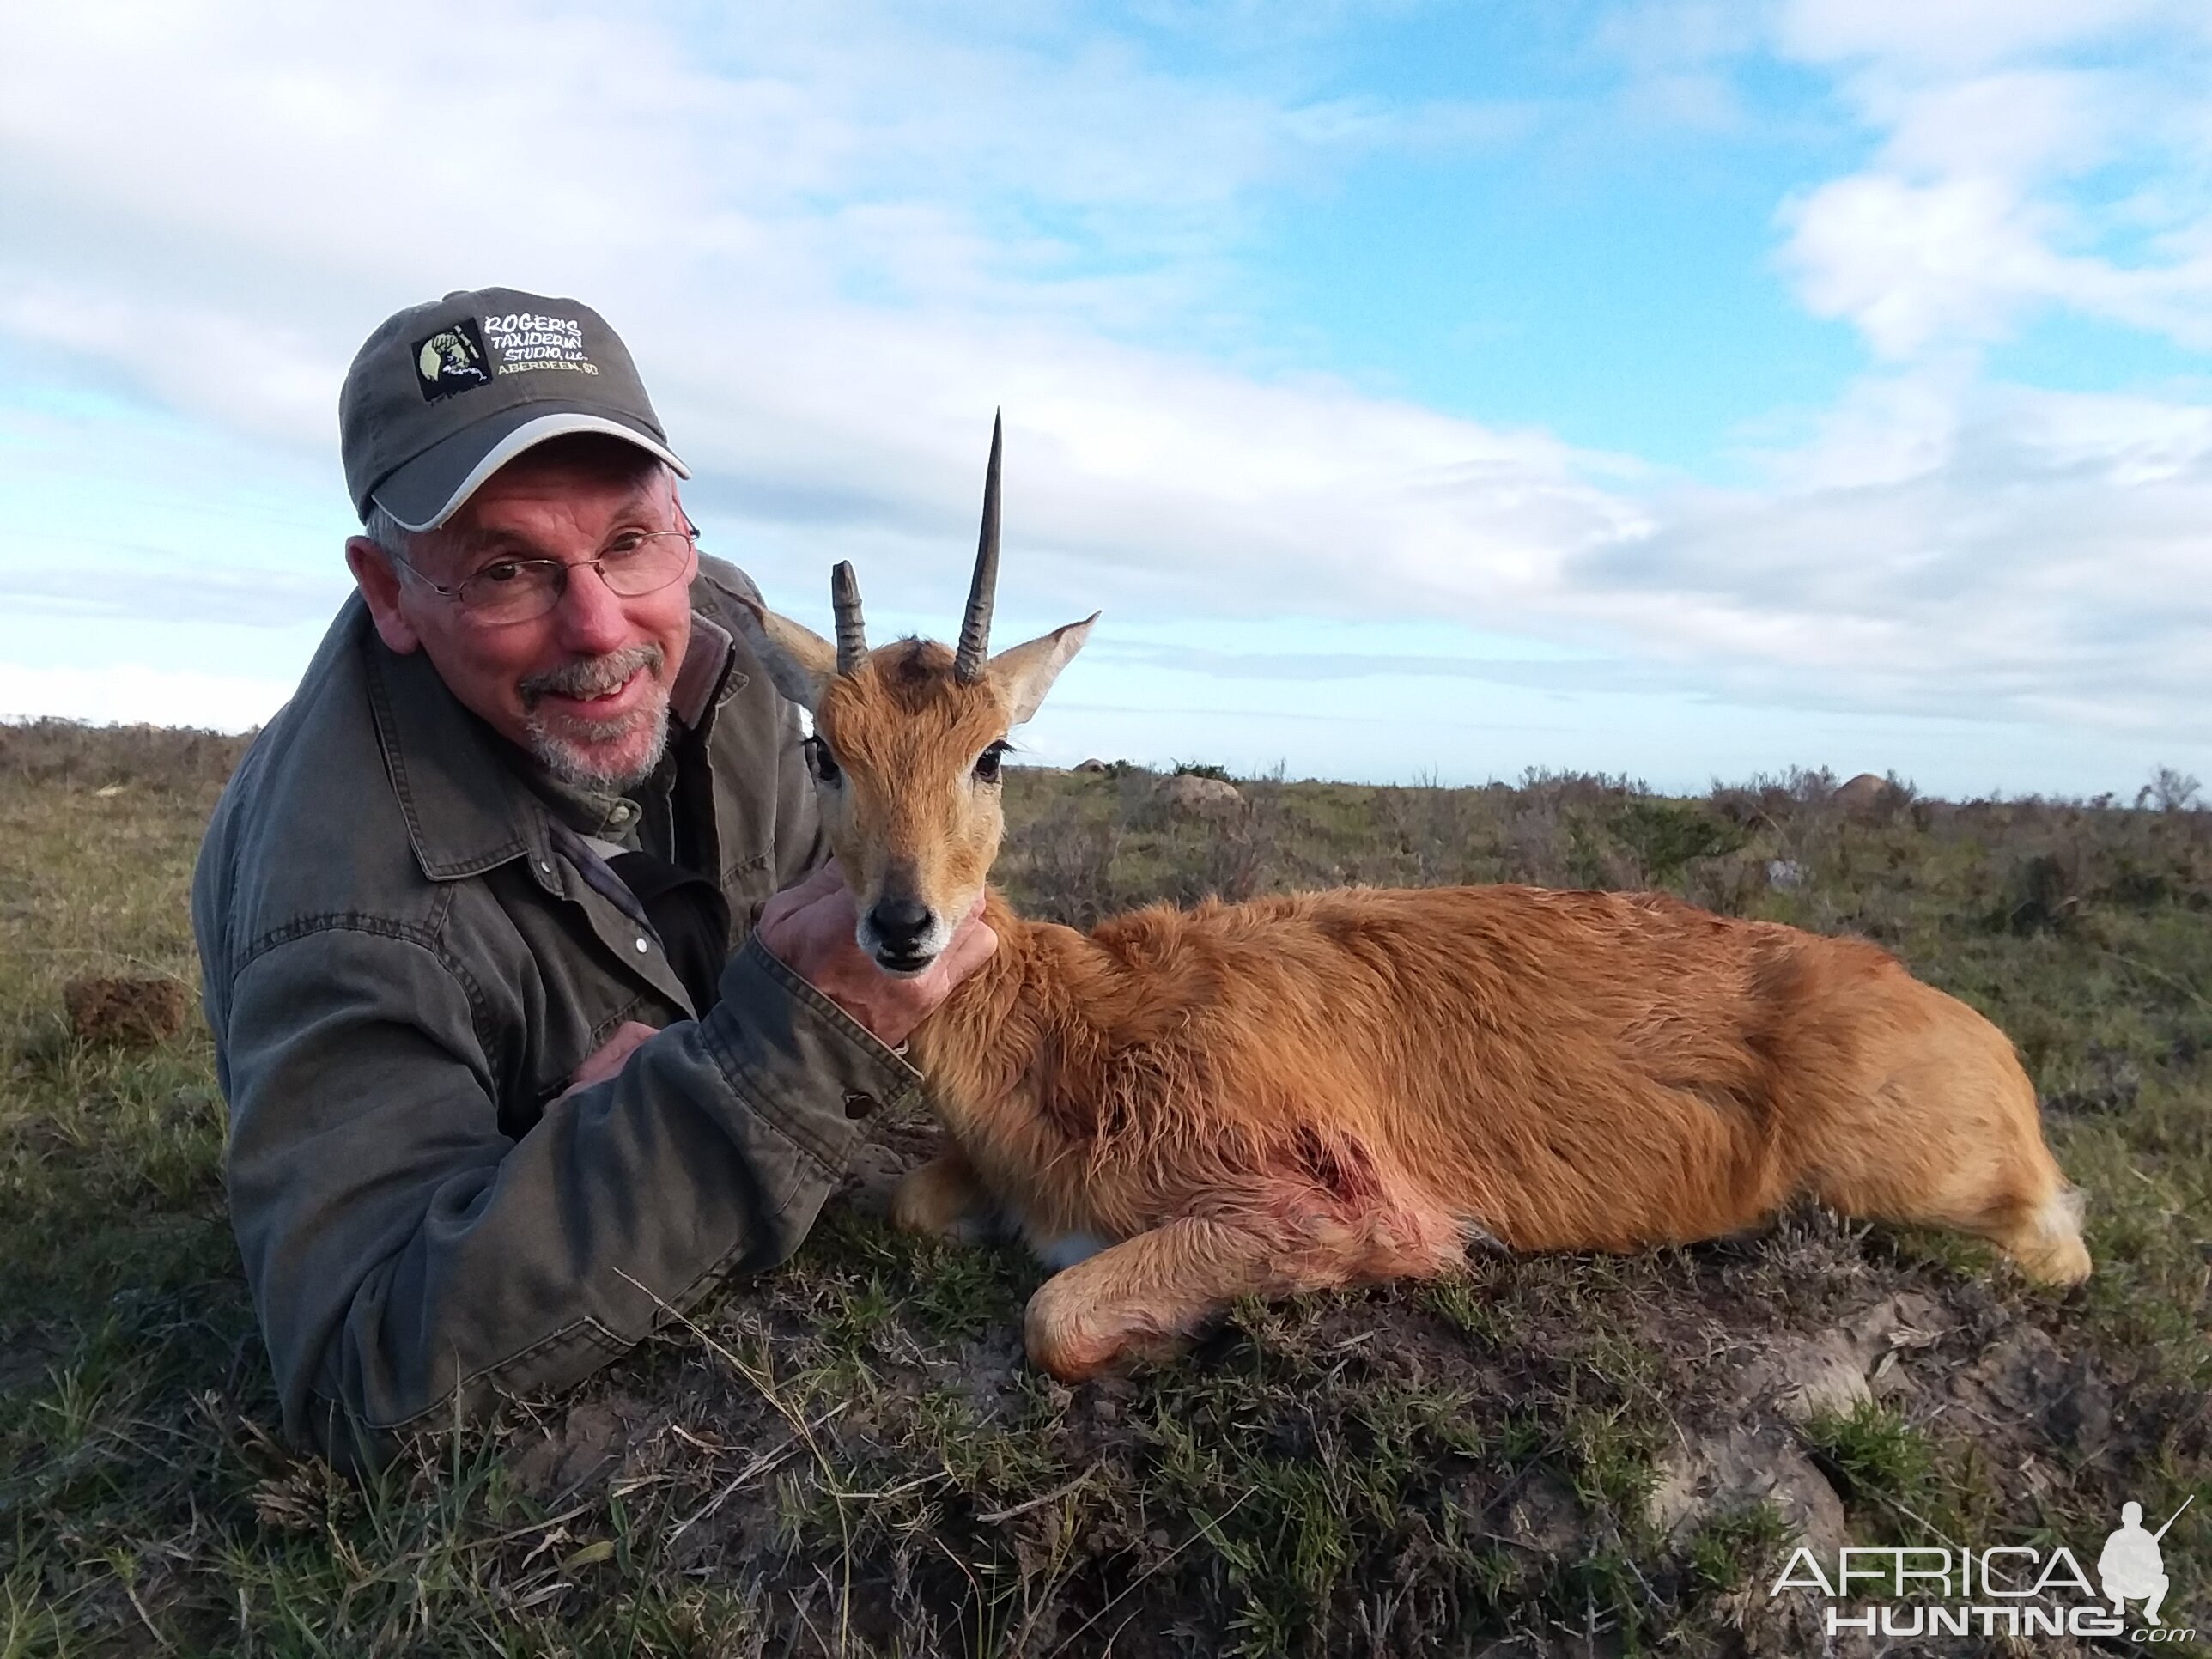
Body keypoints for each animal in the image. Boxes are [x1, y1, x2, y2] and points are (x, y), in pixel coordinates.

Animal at [738, 417, 2087, 1389]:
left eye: (994, 752)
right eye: (826, 751)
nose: (903, 929)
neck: (1081, 1025)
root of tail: (1974, 1034)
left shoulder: (1341, 1213)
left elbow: (1056, 1312)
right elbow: (921, 1201)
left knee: (2062, 1248)